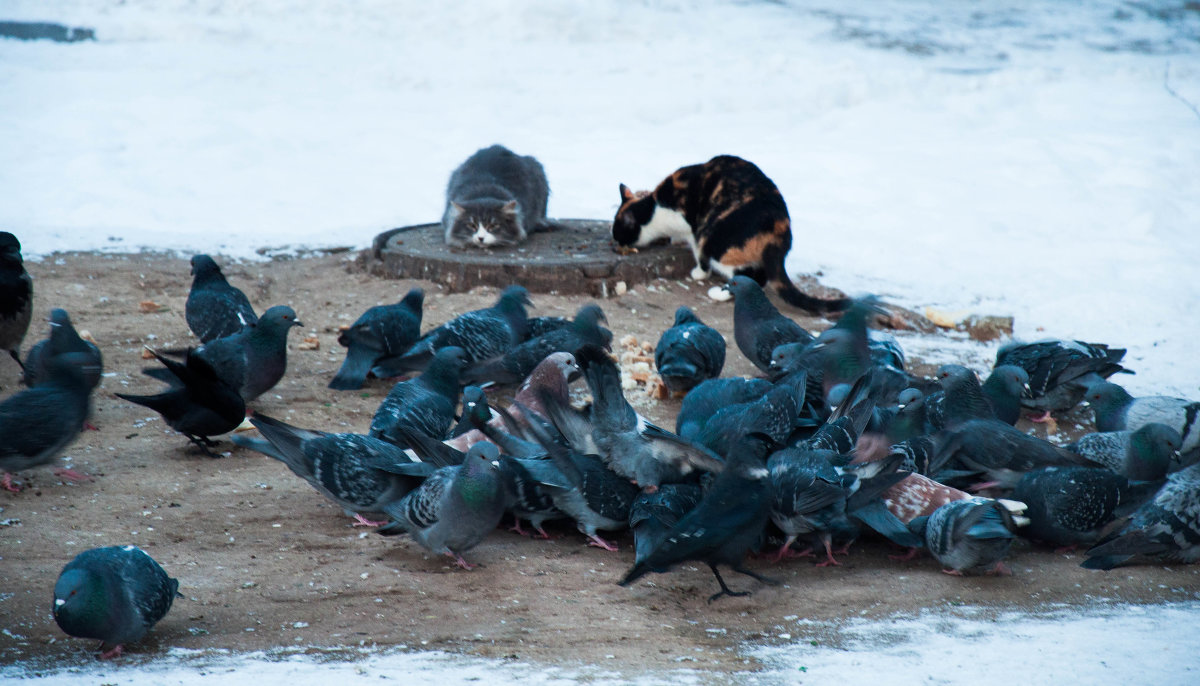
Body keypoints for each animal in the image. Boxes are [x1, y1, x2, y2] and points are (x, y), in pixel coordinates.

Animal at [614, 153, 849, 311]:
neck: (654, 207)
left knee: (748, 277)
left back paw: (718, 293)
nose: (616, 243)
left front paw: (699, 273)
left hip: (715, 238)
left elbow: (699, 255)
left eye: (619, 234)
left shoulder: (694, 230)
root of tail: (779, 226)